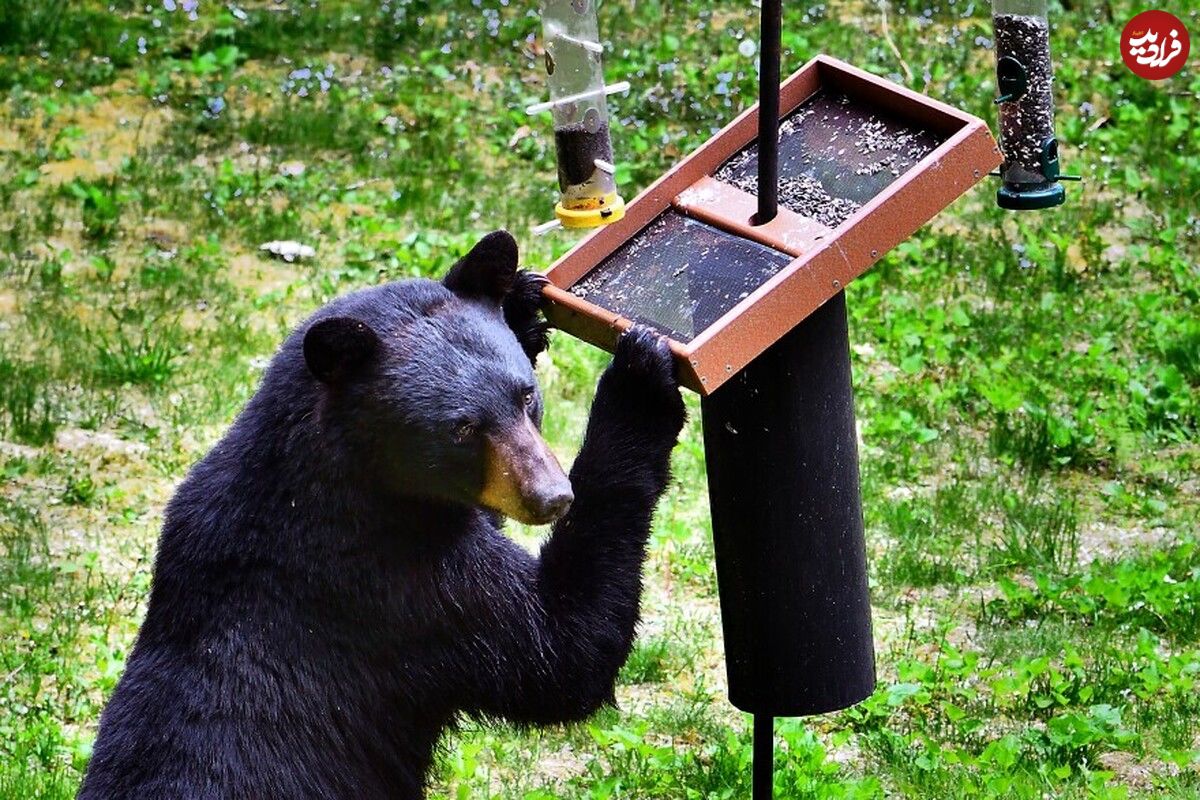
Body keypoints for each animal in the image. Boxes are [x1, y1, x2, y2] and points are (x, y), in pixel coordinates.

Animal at [79, 227, 686, 796]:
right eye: (463, 428)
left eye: (526, 397)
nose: (553, 496)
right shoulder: (401, 586)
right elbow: (562, 649)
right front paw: (640, 378)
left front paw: (520, 297)